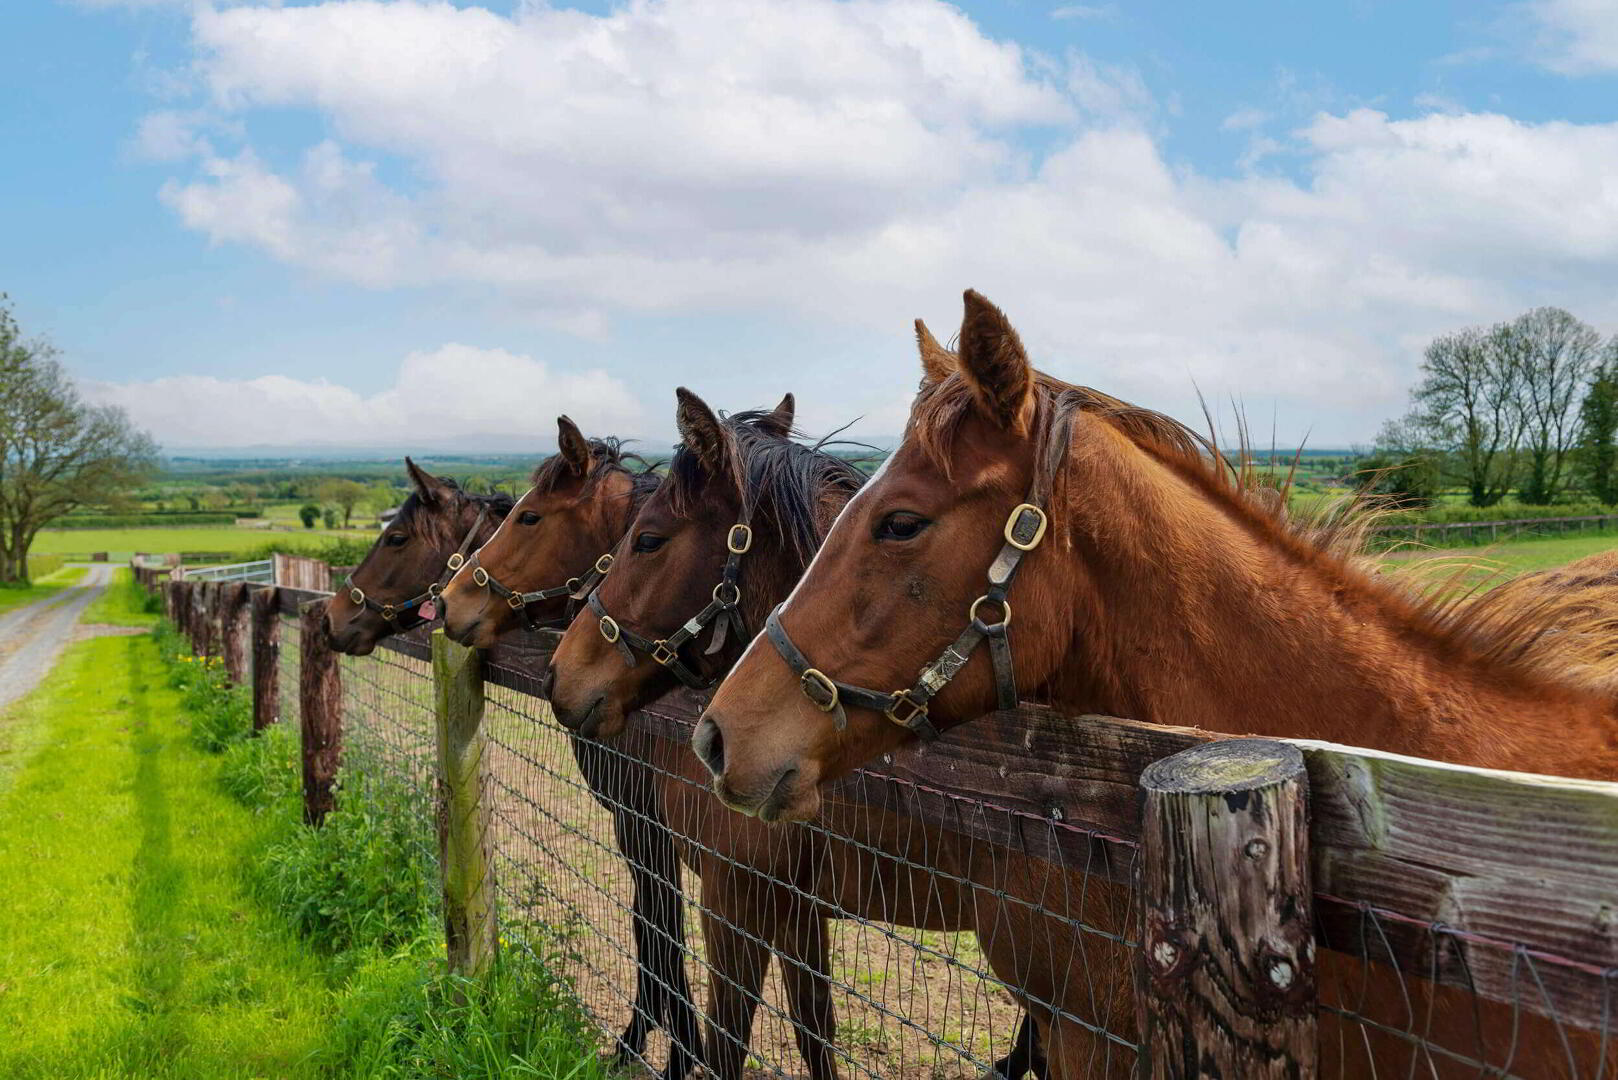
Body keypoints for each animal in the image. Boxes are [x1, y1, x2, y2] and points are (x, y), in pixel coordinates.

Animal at [550, 388, 1106, 1080]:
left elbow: (721, 1031)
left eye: (649, 540)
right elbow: (813, 1028)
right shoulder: (792, 909)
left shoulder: (730, 900)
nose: (560, 674)